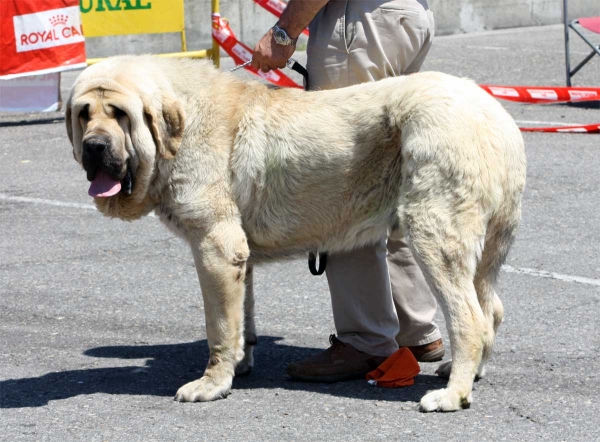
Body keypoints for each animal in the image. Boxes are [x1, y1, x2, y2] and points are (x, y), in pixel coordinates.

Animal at [64, 55, 524, 410]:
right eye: (84, 113)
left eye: (120, 114)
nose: (94, 147)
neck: (181, 126)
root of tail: (494, 113)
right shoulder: (237, 255)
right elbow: (241, 318)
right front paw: (240, 365)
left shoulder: (214, 246)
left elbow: (218, 326)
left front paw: (212, 384)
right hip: (484, 245)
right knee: (492, 309)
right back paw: (468, 373)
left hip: (433, 230)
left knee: (469, 318)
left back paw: (452, 395)